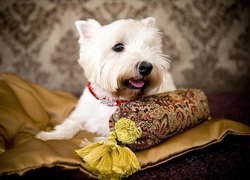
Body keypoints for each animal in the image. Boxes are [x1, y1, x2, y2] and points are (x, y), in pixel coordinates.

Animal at [36, 17, 176, 143]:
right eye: (118, 47)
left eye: (149, 47)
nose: (146, 67)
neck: (111, 99)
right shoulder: (81, 113)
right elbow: (70, 123)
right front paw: (47, 136)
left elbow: (108, 142)